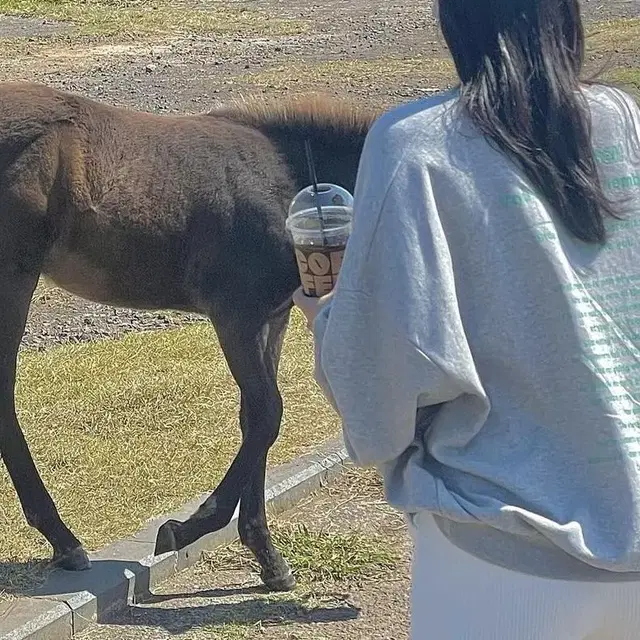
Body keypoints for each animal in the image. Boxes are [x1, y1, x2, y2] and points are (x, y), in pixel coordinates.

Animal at [0, 82, 376, 592]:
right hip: (14, 277)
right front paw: (185, 528)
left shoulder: (272, 318)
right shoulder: (236, 314)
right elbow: (267, 414)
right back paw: (65, 541)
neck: (291, 182)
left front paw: (267, 556)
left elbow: (254, 418)